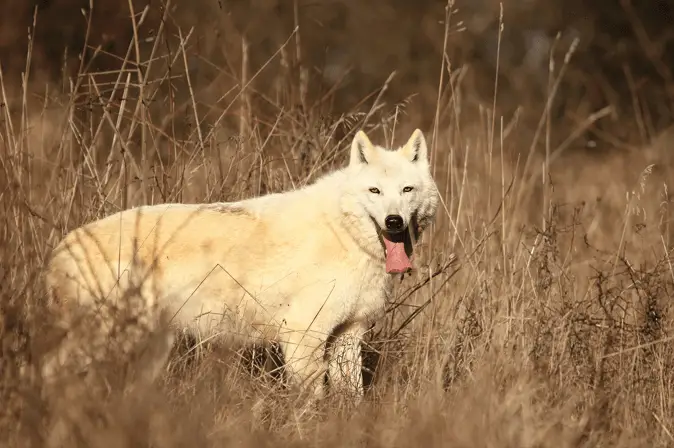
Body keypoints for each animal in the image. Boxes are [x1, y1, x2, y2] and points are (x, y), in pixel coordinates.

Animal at [43, 127, 440, 402]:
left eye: (407, 190)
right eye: (375, 191)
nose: (393, 222)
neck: (344, 234)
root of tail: (60, 248)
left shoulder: (348, 335)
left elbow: (352, 400)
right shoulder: (302, 337)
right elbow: (311, 402)